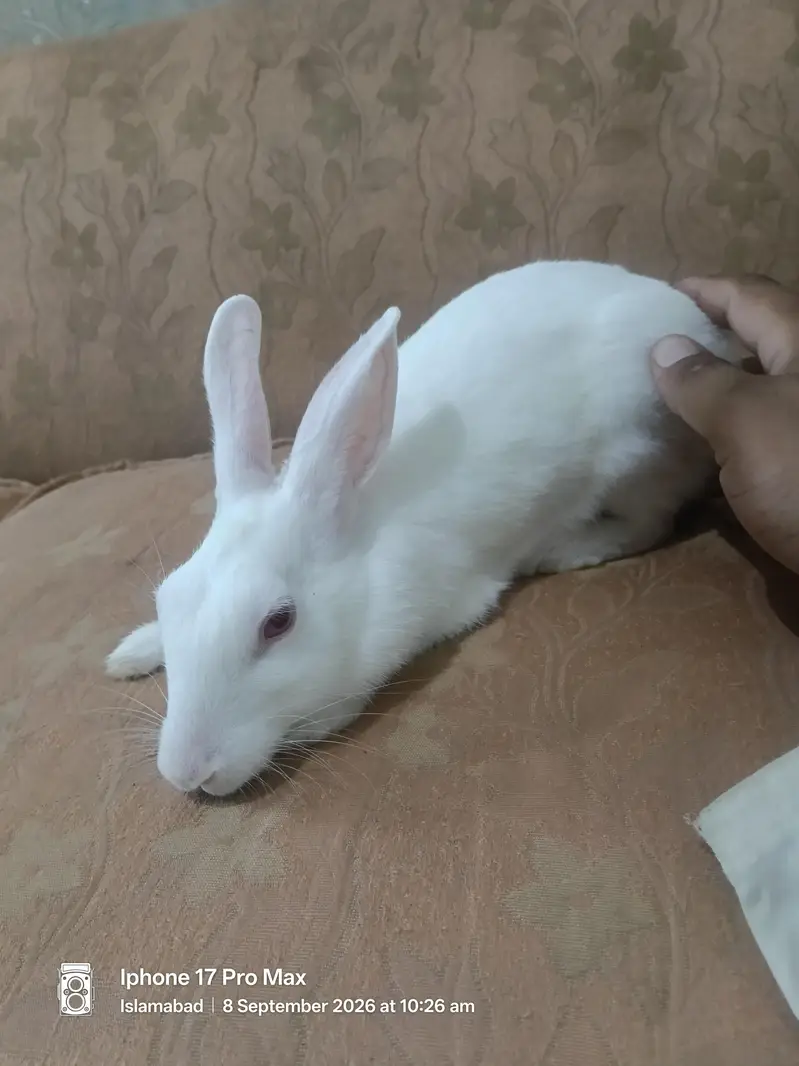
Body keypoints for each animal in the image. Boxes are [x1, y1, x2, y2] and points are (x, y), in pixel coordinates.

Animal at [106, 260, 736, 796]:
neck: (360, 524)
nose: (186, 772)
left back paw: (563, 549)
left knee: (649, 523)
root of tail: (707, 332)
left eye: (279, 623)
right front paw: (130, 653)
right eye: (167, 598)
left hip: (636, 454)